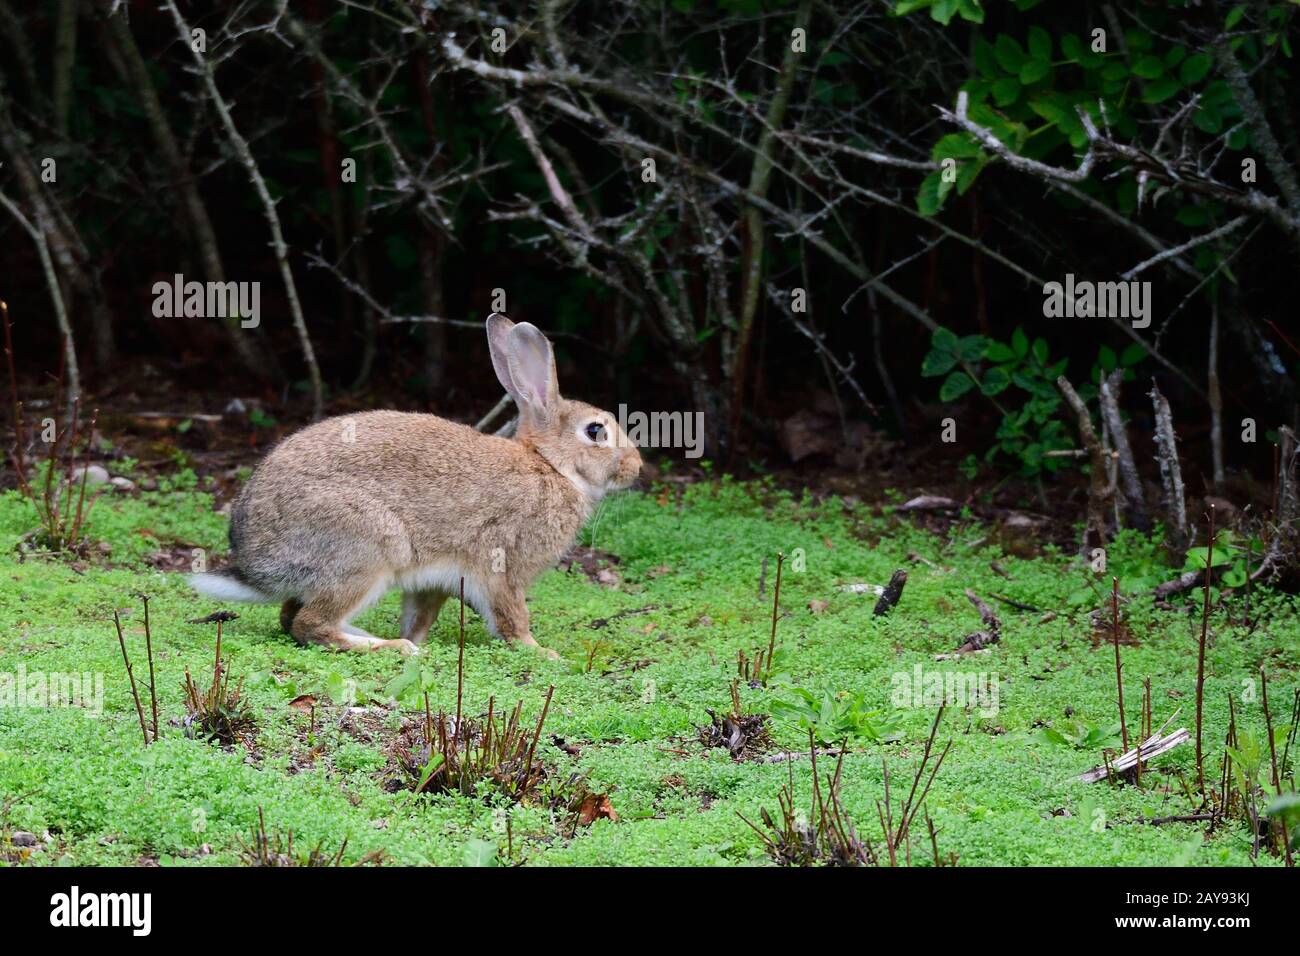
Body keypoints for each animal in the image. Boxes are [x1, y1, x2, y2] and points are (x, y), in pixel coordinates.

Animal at [188, 314, 644, 658]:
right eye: (596, 431)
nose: (636, 467)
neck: (550, 466)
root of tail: (254, 562)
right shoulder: (503, 565)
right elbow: (512, 617)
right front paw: (541, 652)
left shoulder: (434, 583)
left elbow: (420, 616)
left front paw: (418, 636)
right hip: (368, 546)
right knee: (309, 624)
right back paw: (391, 648)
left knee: (291, 616)